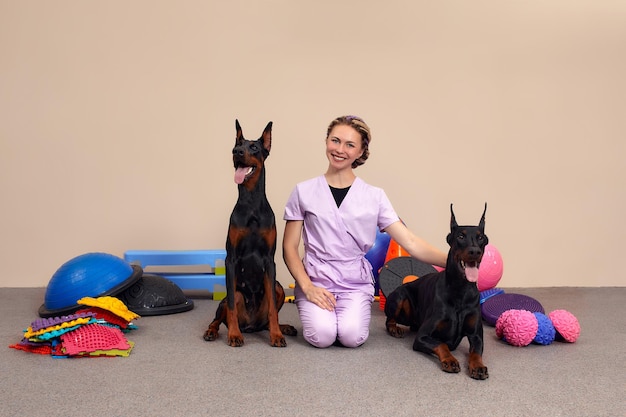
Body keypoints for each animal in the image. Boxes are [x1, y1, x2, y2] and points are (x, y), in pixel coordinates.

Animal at [202, 121, 294, 348]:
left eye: (254, 147)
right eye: (238, 145)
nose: (236, 152)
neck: (251, 203)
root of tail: (251, 326)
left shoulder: (270, 260)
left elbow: (273, 310)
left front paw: (276, 335)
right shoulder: (231, 259)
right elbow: (231, 310)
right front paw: (234, 335)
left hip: (277, 287)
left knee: (269, 316)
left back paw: (283, 328)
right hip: (231, 296)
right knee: (219, 317)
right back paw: (212, 332)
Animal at [386, 203, 488, 378]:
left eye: (481, 238)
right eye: (460, 236)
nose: (475, 251)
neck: (461, 290)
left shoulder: (476, 335)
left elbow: (476, 352)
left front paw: (478, 366)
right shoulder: (422, 336)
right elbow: (441, 344)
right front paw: (450, 360)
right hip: (399, 296)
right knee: (389, 320)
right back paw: (395, 328)